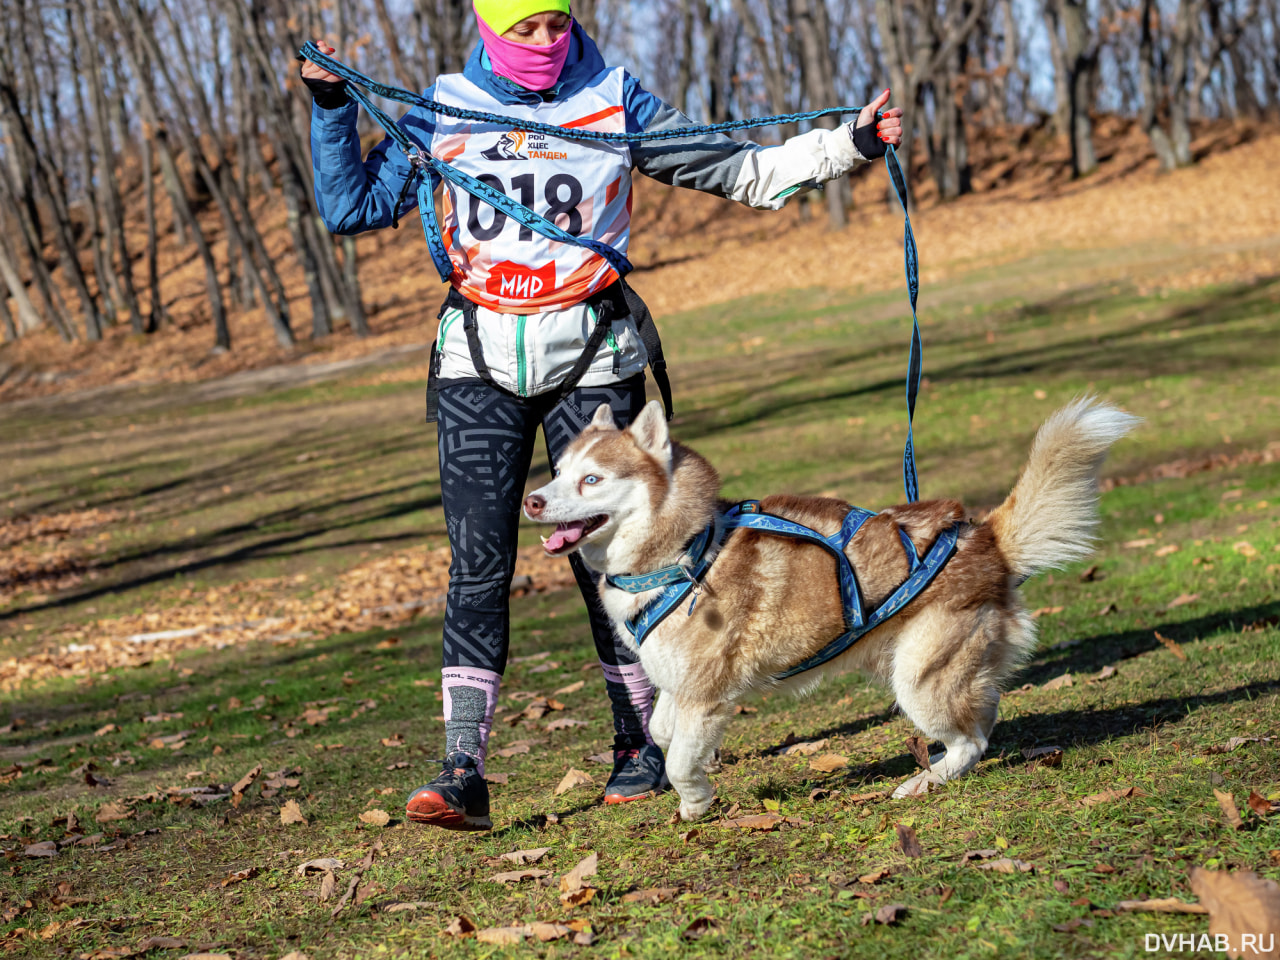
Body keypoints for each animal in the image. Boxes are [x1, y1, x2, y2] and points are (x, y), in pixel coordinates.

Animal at [522, 399, 1141, 819]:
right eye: (558, 472)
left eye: (592, 479)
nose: (532, 500)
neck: (682, 553)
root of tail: (983, 537)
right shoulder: (680, 682)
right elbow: (661, 727)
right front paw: (689, 761)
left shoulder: (705, 691)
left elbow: (677, 760)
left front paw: (695, 801)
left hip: (918, 678)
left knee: (973, 739)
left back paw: (924, 781)